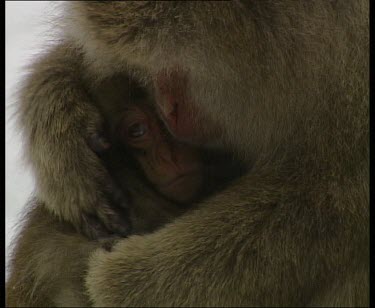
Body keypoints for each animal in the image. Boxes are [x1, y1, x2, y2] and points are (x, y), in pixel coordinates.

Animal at [12, 0, 370, 306]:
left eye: (174, 63)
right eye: (143, 65)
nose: (169, 109)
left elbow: (330, 195)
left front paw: (127, 282)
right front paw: (57, 113)